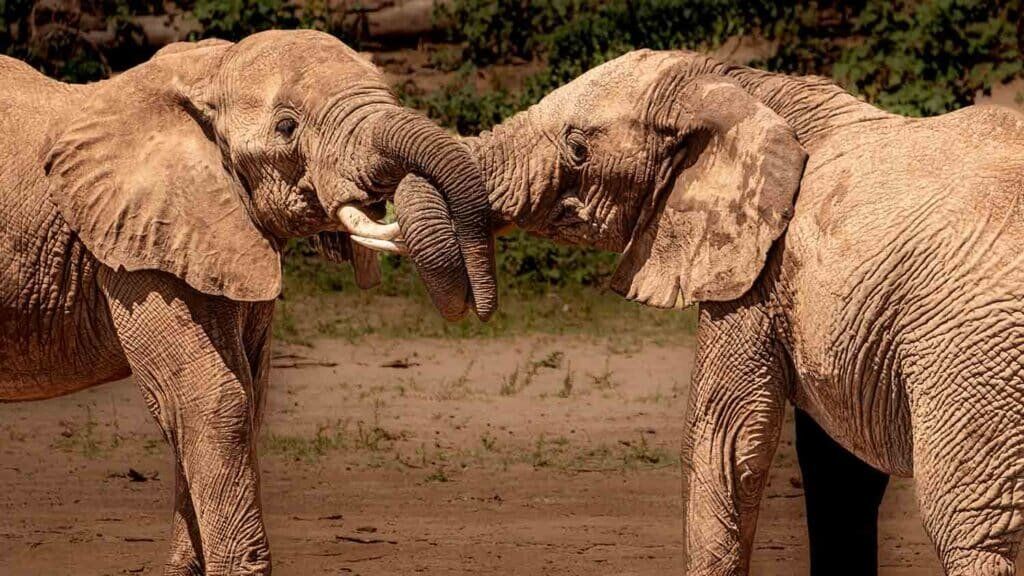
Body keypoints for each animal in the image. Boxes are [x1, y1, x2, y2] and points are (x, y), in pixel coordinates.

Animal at [0, 30, 496, 575]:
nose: (480, 308)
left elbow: (245, 391)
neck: (205, 70)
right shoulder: (134, 245)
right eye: (286, 127)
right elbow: (211, 396)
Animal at [396, 49, 1024, 574]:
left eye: (578, 148)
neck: (735, 84)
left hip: (978, 353)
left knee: (965, 529)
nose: (479, 307)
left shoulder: (758, 272)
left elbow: (724, 440)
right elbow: (839, 470)